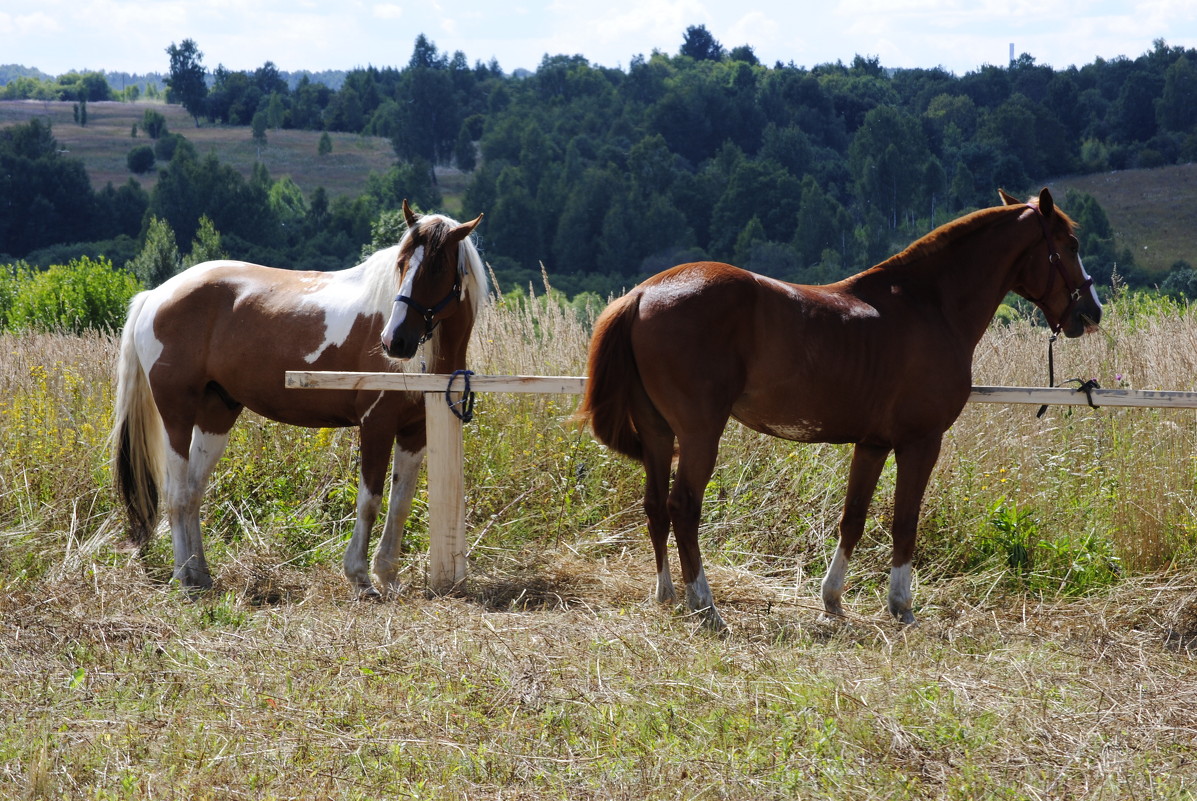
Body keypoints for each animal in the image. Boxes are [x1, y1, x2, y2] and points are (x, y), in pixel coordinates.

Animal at [111, 201, 485, 593]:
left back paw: (201, 574)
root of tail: (156, 295)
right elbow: (370, 501)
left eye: (437, 268)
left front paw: (389, 576)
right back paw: (184, 577)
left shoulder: (415, 433)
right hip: (177, 414)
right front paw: (360, 576)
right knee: (177, 493)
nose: (394, 341)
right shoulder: (376, 425)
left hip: (217, 413)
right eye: (401, 263)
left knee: (194, 492)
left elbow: (400, 503)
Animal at [579, 189, 1101, 632]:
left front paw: (832, 600)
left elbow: (853, 518)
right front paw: (901, 607)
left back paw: (667, 596)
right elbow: (903, 522)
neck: (930, 304)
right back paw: (706, 607)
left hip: (658, 433)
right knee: (682, 507)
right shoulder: (920, 442)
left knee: (654, 507)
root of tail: (642, 294)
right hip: (699, 433)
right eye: (1070, 244)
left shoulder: (871, 444)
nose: (1091, 312)